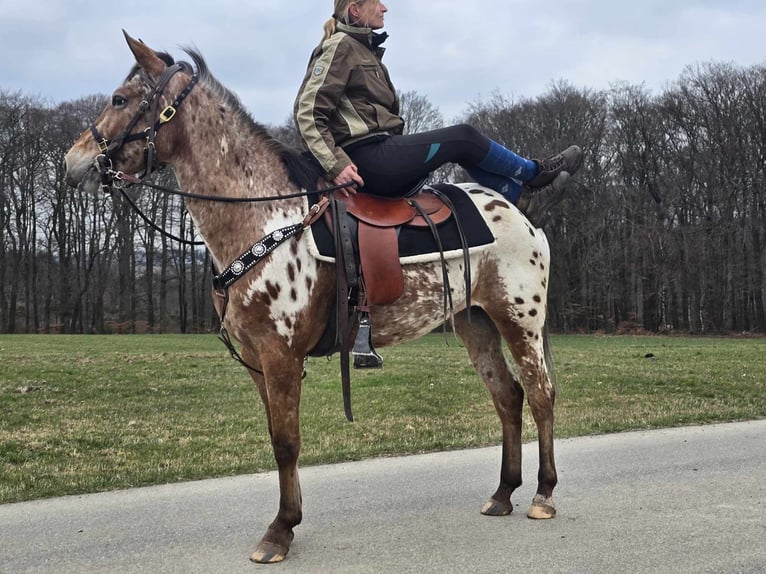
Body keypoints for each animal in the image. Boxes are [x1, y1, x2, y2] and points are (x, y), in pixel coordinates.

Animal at [64, 30, 560, 564]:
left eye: (120, 99)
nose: (73, 161)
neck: (265, 219)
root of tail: (520, 216)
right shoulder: (257, 358)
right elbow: (277, 437)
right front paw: (287, 521)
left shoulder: (280, 355)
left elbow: (287, 442)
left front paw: (280, 530)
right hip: (476, 322)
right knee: (508, 397)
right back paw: (503, 493)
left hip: (520, 321)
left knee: (540, 394)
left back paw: (543, 493)